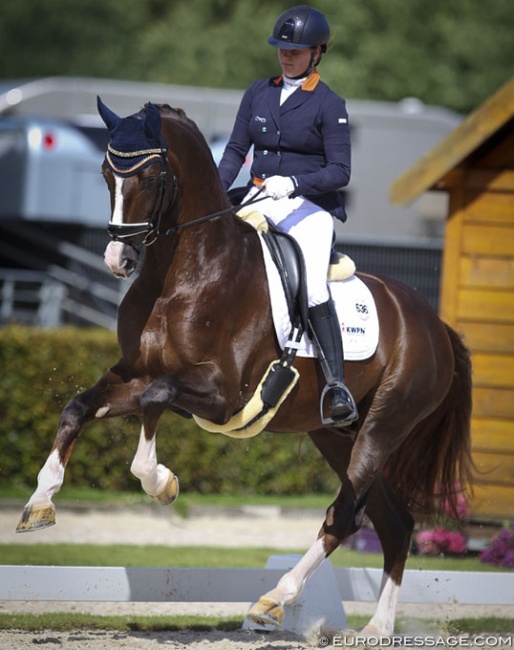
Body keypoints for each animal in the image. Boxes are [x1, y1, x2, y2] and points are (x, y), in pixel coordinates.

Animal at [16, 98, 472, 636]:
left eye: (150, 176)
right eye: (107, 173)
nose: (117, 259)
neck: (183, 271)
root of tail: (433, 322)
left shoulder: (222, 395)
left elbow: (155, 401)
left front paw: (162, 483)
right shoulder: (134, 374)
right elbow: (79, 407)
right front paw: (39, 503)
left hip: (384, 424)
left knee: (345, 516)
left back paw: (274, 600)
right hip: (336, 435)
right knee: (393, 523)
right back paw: (376, 630)